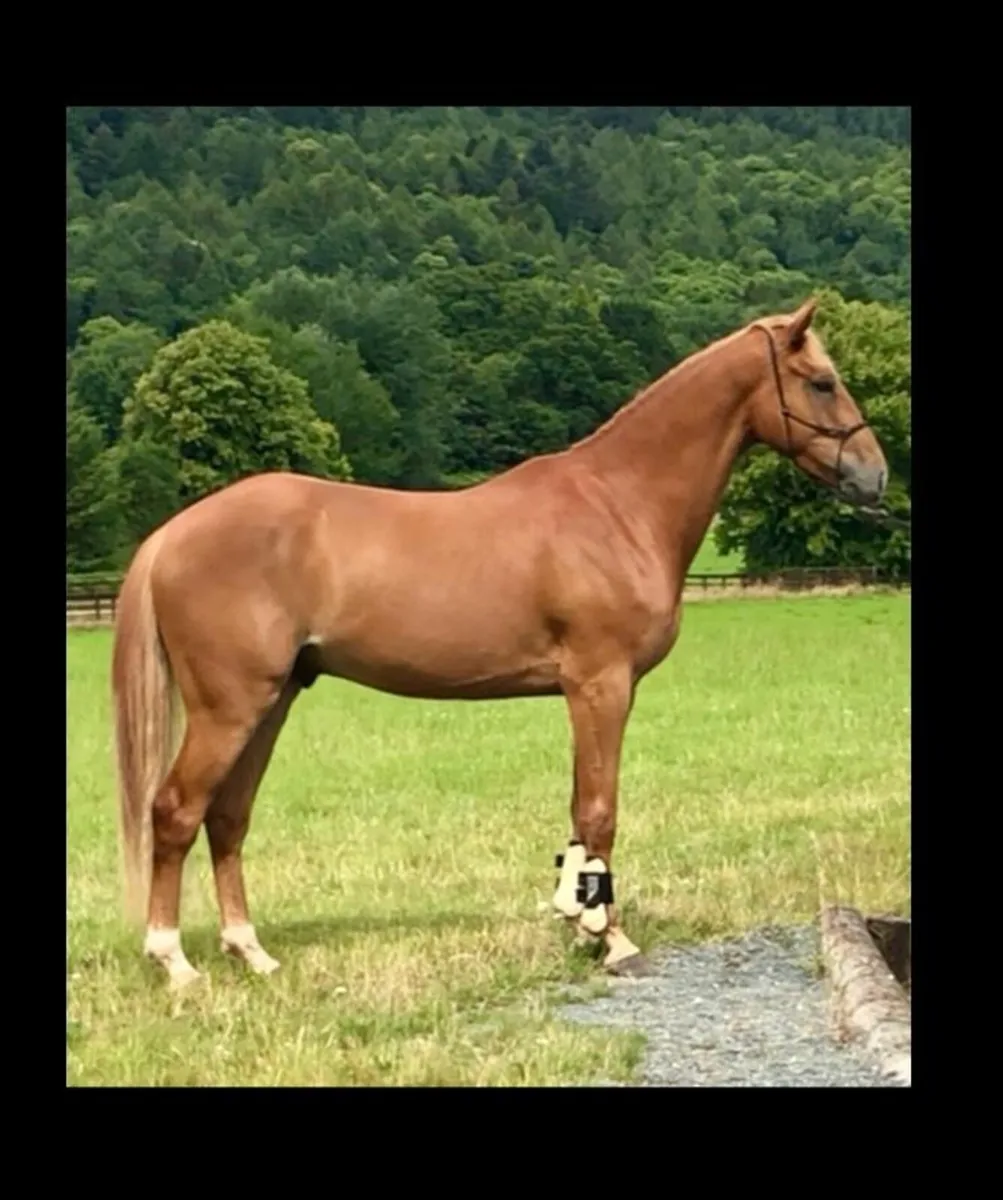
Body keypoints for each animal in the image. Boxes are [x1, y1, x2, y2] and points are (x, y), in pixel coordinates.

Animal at [110, 298, 889, 990]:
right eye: (822, 381)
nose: (874, 475)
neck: (617, 504)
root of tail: (171, 535)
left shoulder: (584, 692)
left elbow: (580, 810)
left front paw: (580, 926)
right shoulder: (601, 685)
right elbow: (599, 812)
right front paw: (610, 940)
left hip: (270, 703)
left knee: (227, 816)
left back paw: (251, 953)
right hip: (230, 708)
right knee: (175, 811)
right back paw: (174, 962)